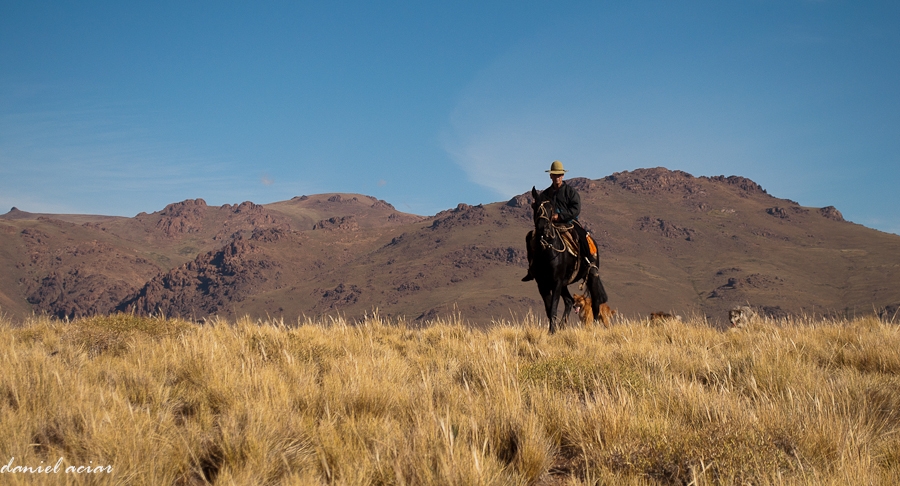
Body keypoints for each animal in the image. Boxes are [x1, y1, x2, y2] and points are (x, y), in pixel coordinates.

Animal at [524, 187, 608, 334]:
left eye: (551, 207)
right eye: (535, 206)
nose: (543, 229)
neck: (547, 251)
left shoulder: (557, 282)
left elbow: (553, 308)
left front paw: (552, 331)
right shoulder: (543, 284)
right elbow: (549, 309)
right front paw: (553, 330)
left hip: (590, 276)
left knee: (596, 300)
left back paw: (594, 326)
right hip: (564, 283)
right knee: (569, 301)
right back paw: (562, 326)